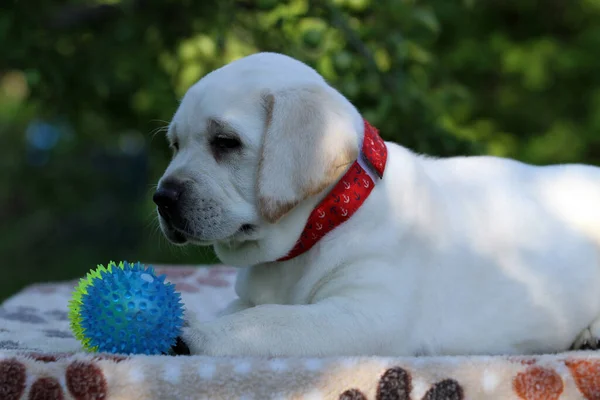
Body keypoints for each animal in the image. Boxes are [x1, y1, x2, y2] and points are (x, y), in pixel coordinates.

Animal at [151, 50, 600, 356]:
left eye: (225, 142)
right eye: (175, 144)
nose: (162, 198)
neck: (329, 215)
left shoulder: (368, 313)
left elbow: (269, 320)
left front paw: (194, 337)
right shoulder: (251, 296)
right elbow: (241, 310)